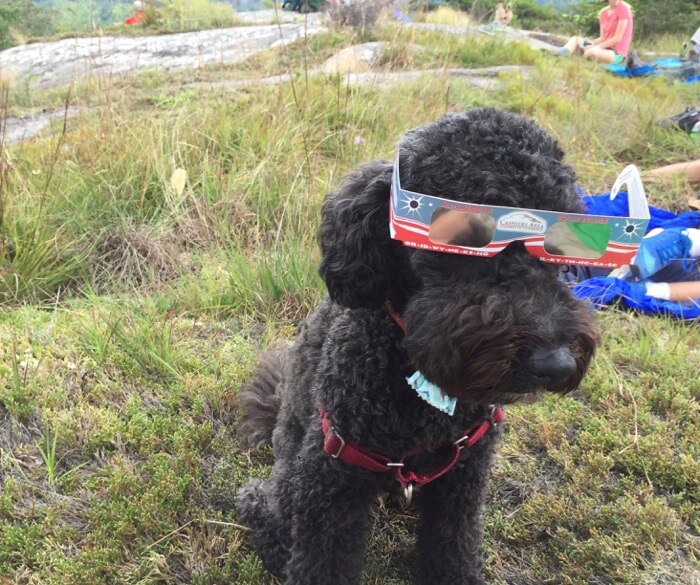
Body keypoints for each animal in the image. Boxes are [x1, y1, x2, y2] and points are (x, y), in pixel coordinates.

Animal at [238, 107, 600, 580]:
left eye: (558, 248)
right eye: (462, 238)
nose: (555, 364)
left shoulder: (463, 478)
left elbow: (453, 546)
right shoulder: (332, 475)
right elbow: (323, 560)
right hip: (290, 476)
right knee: (267, 511)